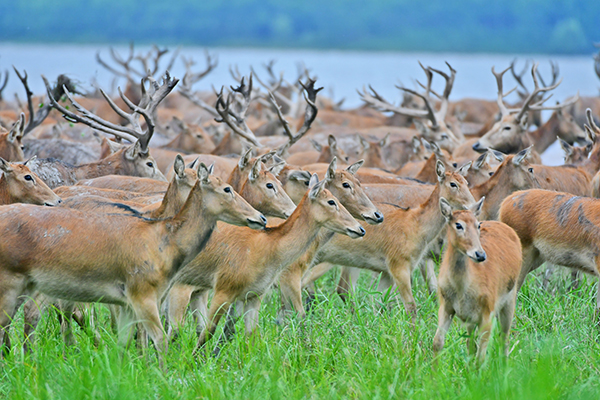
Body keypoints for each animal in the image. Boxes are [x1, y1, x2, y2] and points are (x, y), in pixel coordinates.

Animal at [0, 161, 268, 364]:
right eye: (227, 189)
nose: (261, 217)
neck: (165, 239)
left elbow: (132, 336)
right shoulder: (142, 293)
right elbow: (157, 336)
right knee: (35, 315)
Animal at [434, 198, 524, 364]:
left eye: (478, 225)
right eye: (458, 225)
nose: (480, 254)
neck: (462, 289)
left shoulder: (488, 309)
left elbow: (481, 357)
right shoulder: (445, 304)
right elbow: (437, 342)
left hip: (510, 298)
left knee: (504, 338)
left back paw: (504, 364)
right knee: (471, 342)